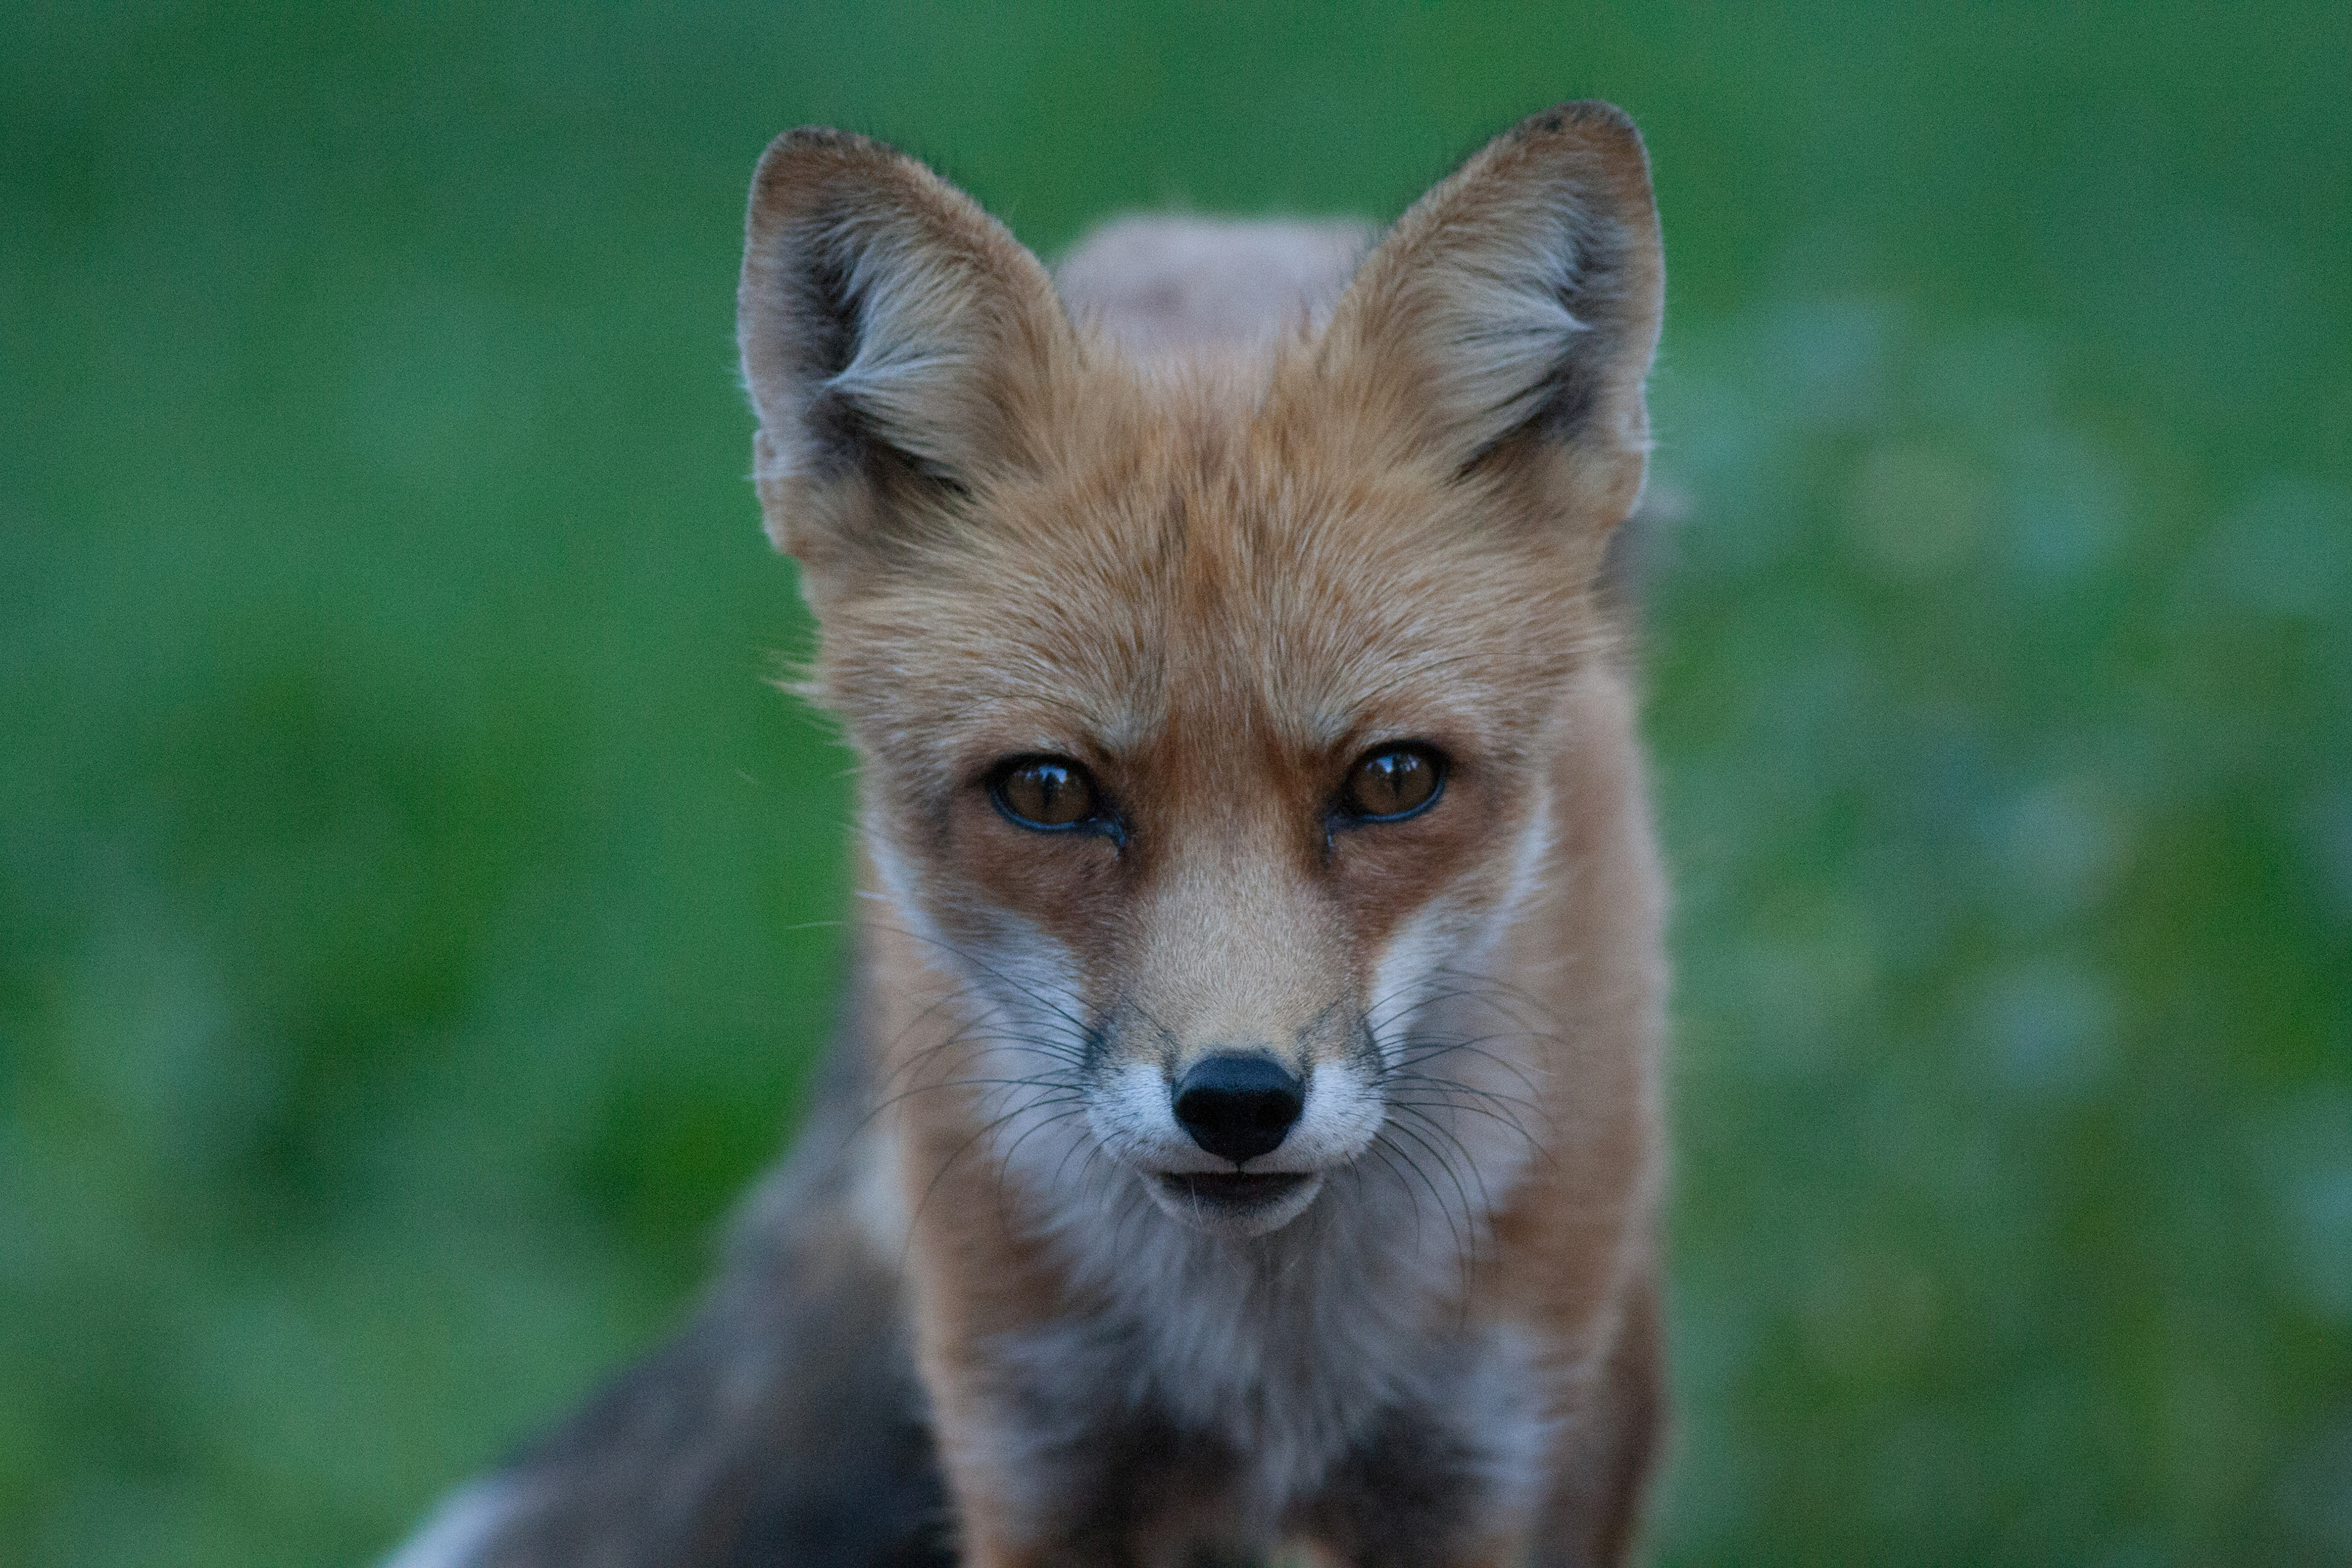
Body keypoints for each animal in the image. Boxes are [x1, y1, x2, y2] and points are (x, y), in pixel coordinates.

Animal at [388, 101, 1670, 1568]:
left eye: (1394, 779)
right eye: (1049, 791)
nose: (1240, 1101)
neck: (1263, 1350)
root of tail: (1231, 230)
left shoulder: (1482, 1466)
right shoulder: (1036, 1454)